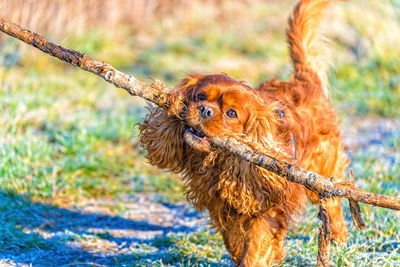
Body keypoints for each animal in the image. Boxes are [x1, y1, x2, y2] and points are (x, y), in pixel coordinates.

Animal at [139, 0, 348, 266]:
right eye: (200, 96)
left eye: (231, 114)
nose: (205, 110)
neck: (220, 161)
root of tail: (305, 83)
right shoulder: (224, 209)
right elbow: (237, 245)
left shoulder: (267, 213)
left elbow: (255, 251)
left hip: (321, 168)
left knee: (332, 202)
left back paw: (338, 238)